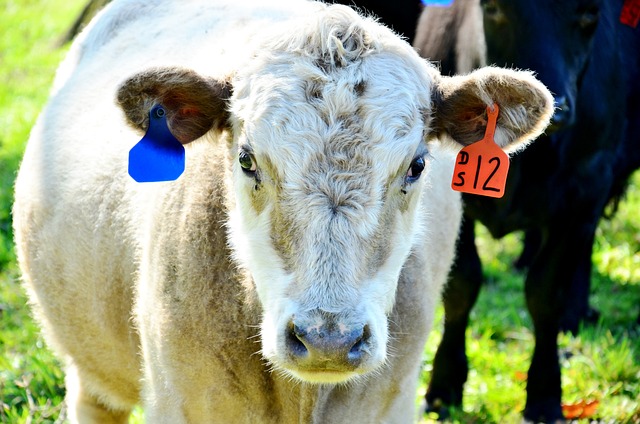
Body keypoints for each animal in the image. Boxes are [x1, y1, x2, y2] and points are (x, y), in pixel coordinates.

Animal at [416, 0, 640, 422]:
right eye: (493, 7)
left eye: (590, 14)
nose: (558, 110)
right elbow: (462, 284)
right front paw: (445, 384)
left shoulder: (585, 188)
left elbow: (545, 295)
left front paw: (544, 393)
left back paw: (575, 313)